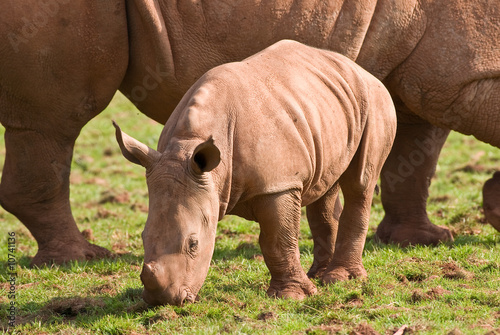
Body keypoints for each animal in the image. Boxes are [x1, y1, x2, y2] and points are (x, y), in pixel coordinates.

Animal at [0, 0, 500, 268]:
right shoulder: (463, 72)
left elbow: (418, 153)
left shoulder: (430, 78)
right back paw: (83, 258)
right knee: (54, 122)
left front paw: (425, 240)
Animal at [115, 40, 396, 308]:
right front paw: (301, 291)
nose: (162, 299)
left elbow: (277, 240)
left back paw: (341, 280)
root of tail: (359, 69)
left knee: (359, 184)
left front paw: (291, 297)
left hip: (376, 100)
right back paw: (318, 275)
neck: (188, 144)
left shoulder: (279, 183)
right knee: (324, 186)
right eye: (142, 237)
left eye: (193, 244)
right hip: (326, 106)